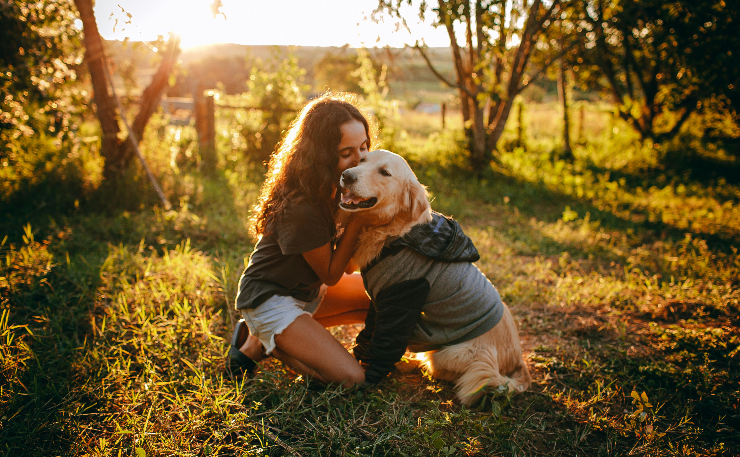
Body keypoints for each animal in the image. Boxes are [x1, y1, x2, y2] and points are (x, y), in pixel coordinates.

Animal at [342, 149, 532, 402]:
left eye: (384, 173)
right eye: (362, 161)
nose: (346, 175)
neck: (395, 235)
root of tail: (518, 362)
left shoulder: (403, 299)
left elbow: (384, 345)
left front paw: (367, 378)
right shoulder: (379, 301)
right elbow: (368, 333)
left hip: (453, 353)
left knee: (442, 370)